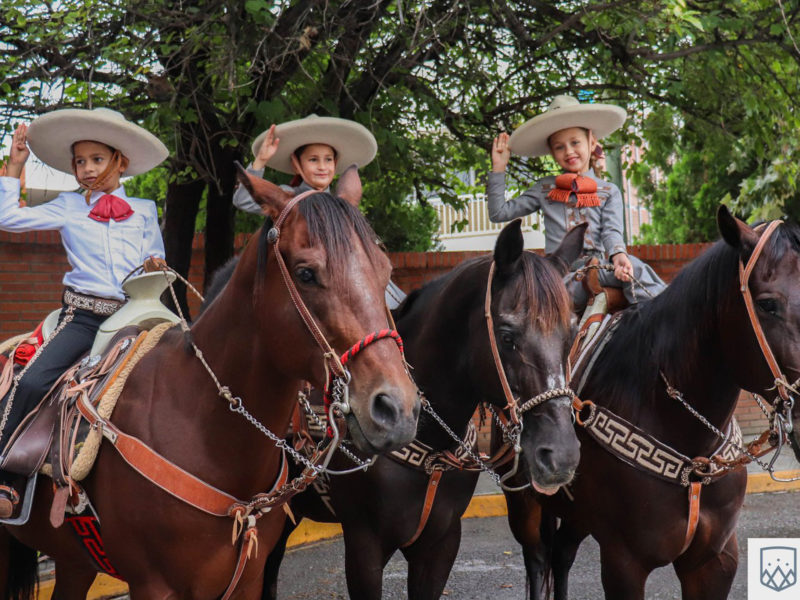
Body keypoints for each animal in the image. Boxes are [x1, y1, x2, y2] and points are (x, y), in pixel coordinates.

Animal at [3, 165, 422, 600]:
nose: (396, 409)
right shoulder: (153, 585)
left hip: (75, 561)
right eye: (306, 273)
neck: (201, 426)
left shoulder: (248, 579)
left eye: (386, 271)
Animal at [262, 220, 588, 600]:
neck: (427, 444)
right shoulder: (363, 545)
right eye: (508, 336)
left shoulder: (441, 545)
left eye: (572, 335)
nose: (561, 454)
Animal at [500, 207, 800, 600]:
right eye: (767, 304)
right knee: (538, 562)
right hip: (524, 504)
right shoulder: (623, 563)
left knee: (562, 555)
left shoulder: (715, 561)